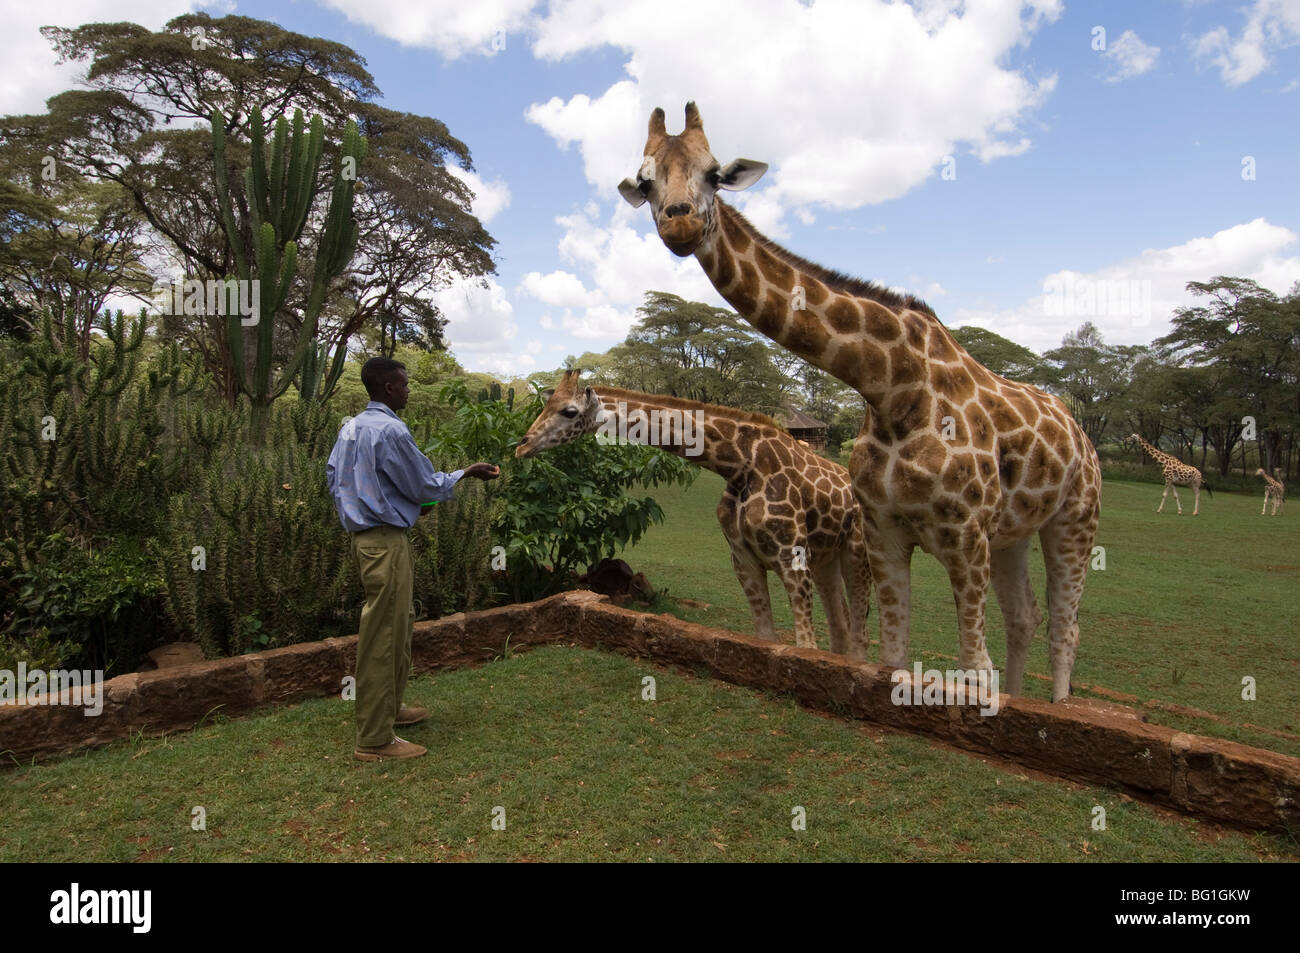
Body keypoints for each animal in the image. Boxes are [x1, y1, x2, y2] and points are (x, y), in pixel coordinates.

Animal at [516, 371, 872, 658]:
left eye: (569, 411)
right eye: (546, 405)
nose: (522, 445)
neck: (740, 465)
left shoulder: (791, 557)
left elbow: (804, 645)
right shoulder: (743, 560)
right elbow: (766, 639)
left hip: (857, 552)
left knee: (859, 631)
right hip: (825, 558)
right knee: (840, 626)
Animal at [618, 103, 1102, 702]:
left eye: (713, 173)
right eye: (645, 180)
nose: (679, 223)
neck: (892, 388)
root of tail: (1081, 433)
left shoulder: (964, 536)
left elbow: (973, 666)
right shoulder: (884, 532)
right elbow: (890, 656)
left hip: (1075, 518)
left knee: (1066, 626)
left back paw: (1058, 702)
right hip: (1013, 532)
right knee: (1025, 617)